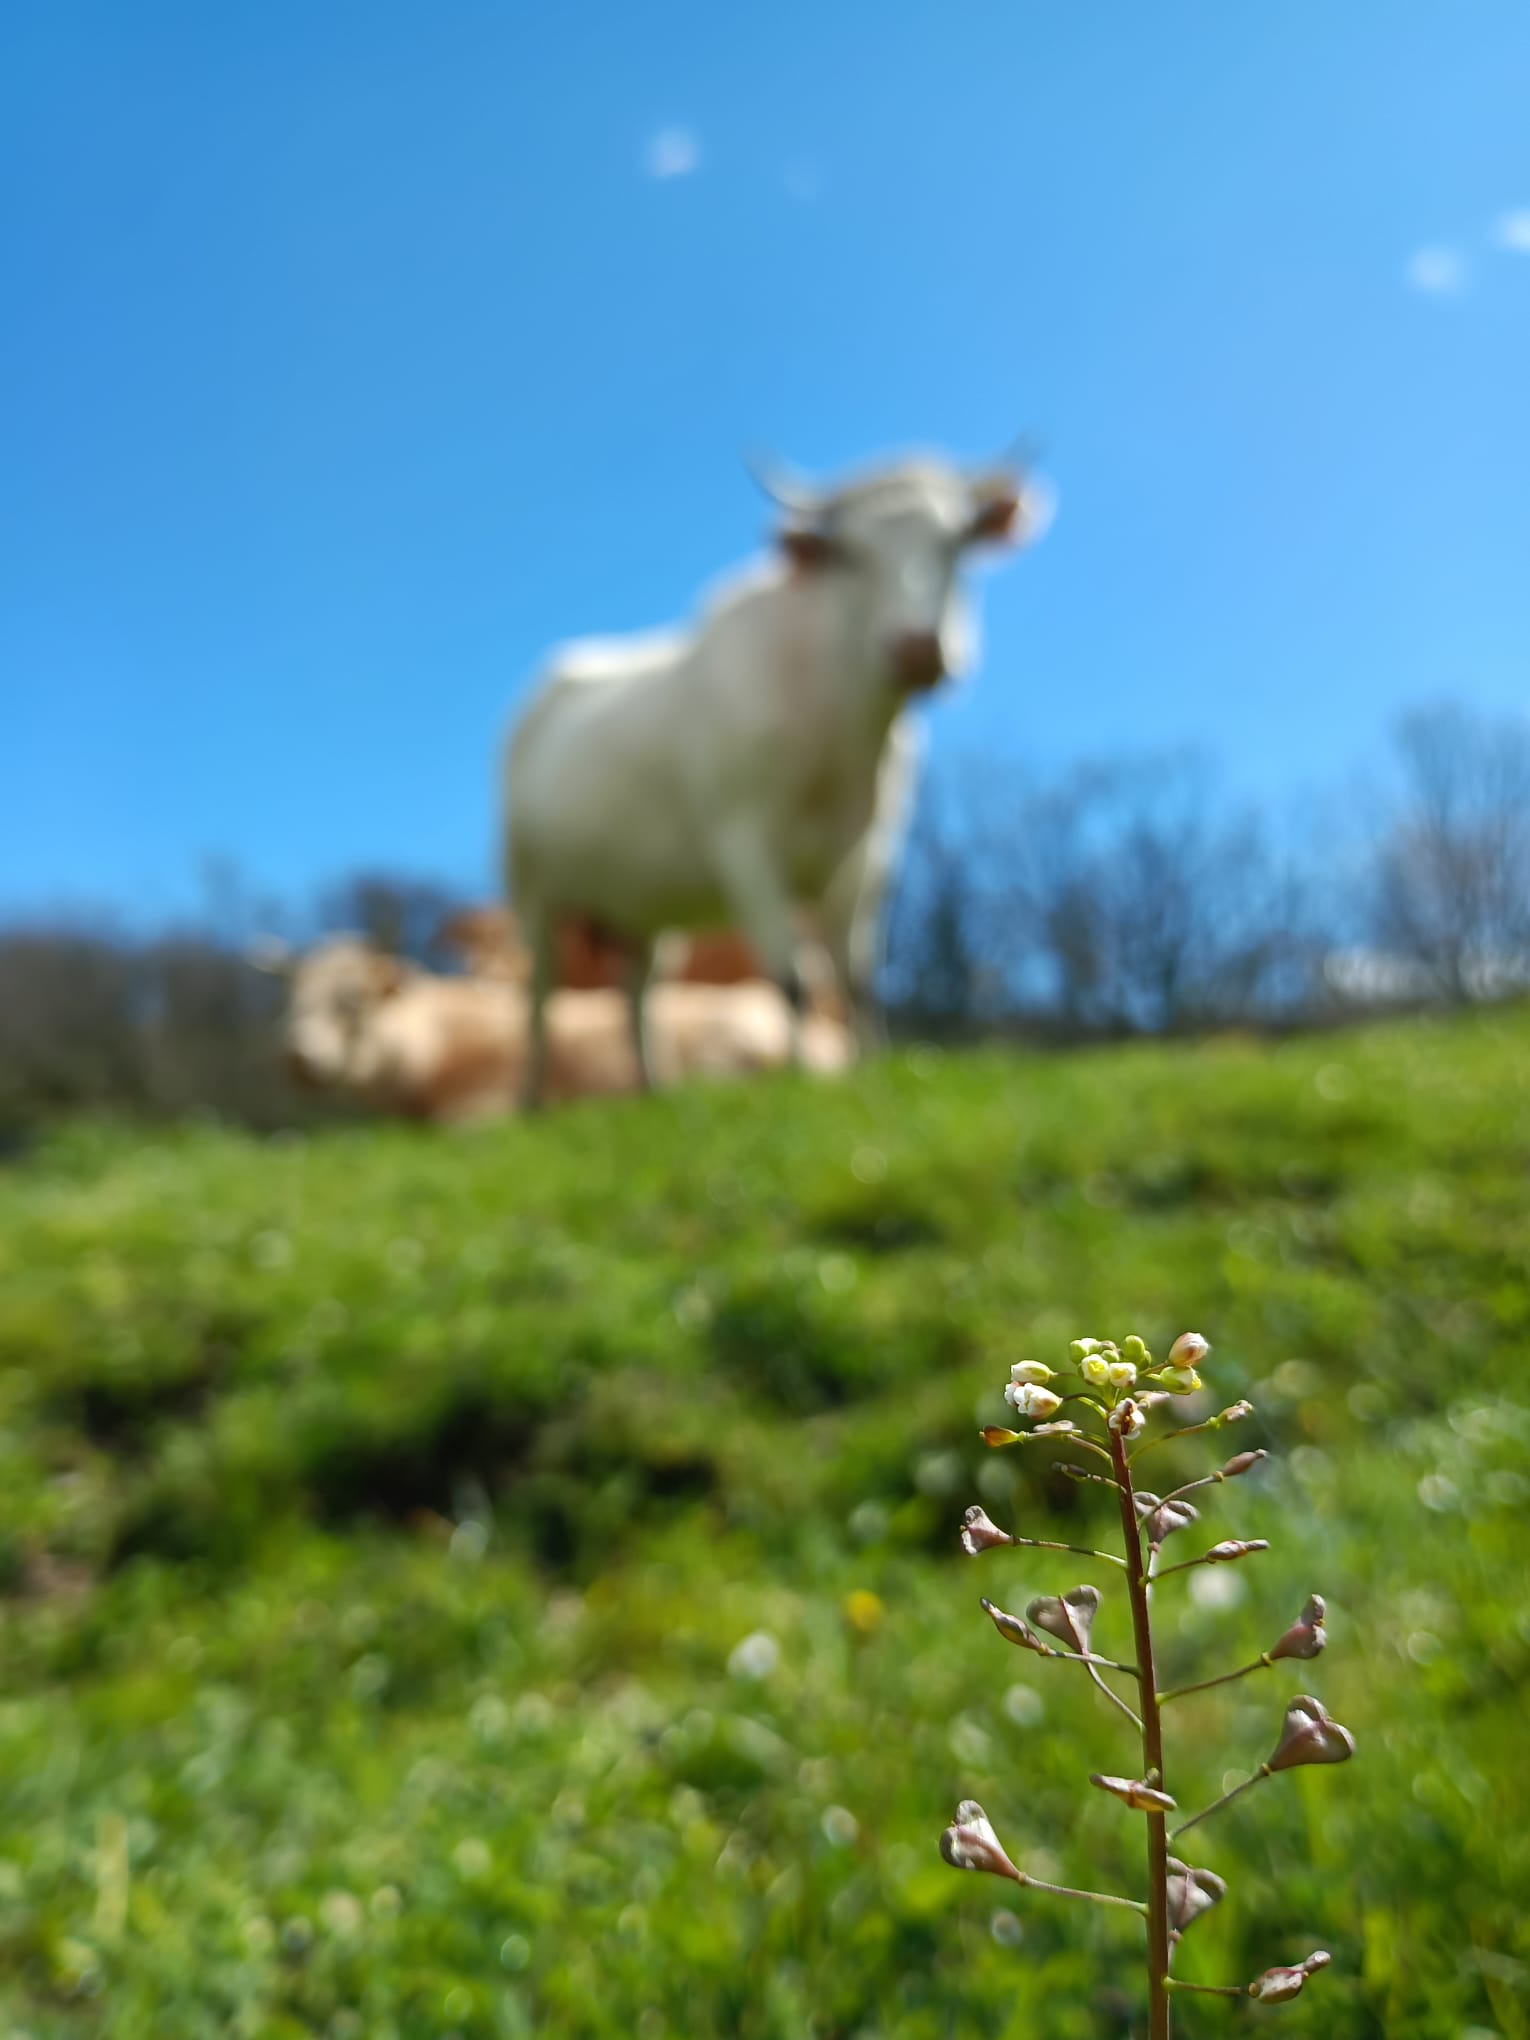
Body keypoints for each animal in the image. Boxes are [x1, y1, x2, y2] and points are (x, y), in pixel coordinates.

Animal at [503, 447, 1051, 1106]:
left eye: (956, 542)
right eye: (850, 554)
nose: (917, 649)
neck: (836, 726)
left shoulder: (868, 851)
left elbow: (857, 977)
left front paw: (871, 1069)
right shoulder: (743, 842)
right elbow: (791, 978)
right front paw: (802, 1079)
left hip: (641, 903)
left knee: (637, 989)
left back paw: (654, 1091)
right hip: (531, 887)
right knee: (540, 991)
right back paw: (534, 1100)